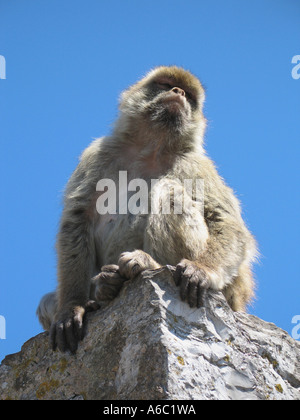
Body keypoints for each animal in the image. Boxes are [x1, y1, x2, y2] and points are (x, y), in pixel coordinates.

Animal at [37, 66, 258, 354]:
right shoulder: (97, 154)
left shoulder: (196, 164)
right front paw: (72, 306)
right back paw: (103, 288)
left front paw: (202, 269)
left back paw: (149, 265)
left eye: (188, 95)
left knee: (170, 191)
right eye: (165, 84)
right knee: (46, 302)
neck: (152, 147)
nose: (178, 93)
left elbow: (224, 220)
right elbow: (77, 219)